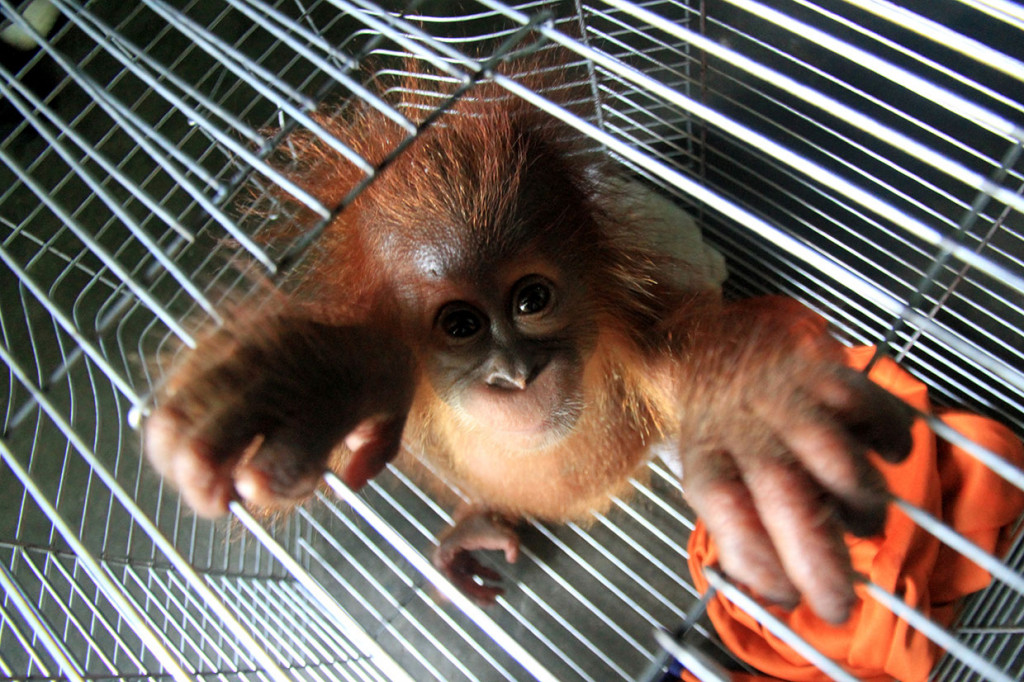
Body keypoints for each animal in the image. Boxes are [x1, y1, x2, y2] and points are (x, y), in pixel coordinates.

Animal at [143, 60, 915, 626]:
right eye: (460, 325)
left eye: (531, 300)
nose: (514, 374)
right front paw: (308, 376)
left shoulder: (638, 340)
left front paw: (747, 408)